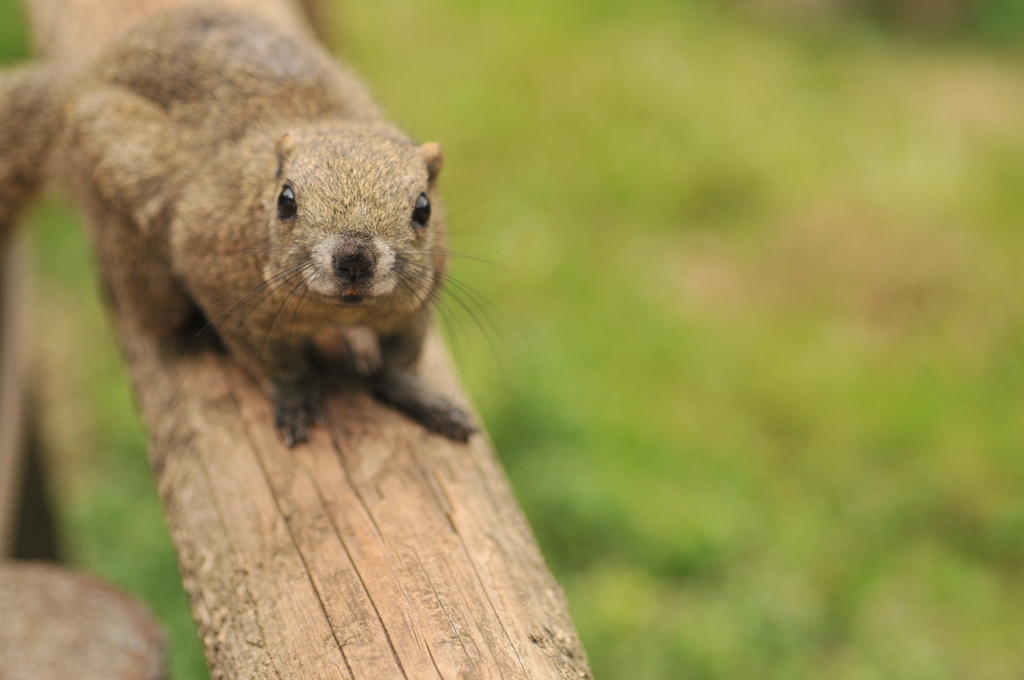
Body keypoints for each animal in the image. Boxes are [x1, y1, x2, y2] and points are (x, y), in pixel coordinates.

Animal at [0, 5, 477, 448]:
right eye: (285, 201)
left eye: (424, 208)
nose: (355, 259)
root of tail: (81, 80)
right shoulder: (218, 280)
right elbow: (270, 360)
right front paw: (295, 396)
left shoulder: (419, 300)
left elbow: (400, 361)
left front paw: (423, 399)